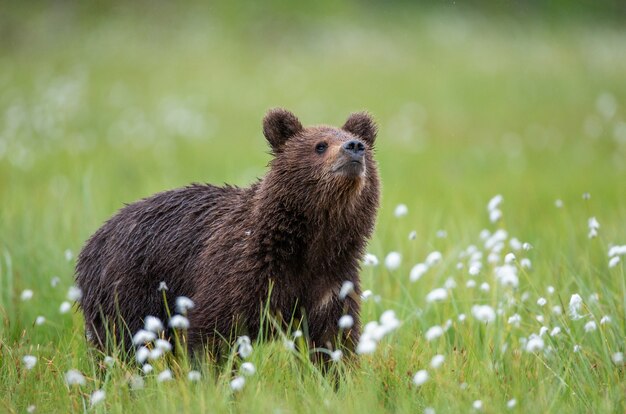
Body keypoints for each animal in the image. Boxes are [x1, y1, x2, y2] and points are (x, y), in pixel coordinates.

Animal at [75, 108, 378, 360]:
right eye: (320, 145)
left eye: (354, 140)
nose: (354, 147)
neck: (309, 242)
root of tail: (93, 240)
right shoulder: (237, 270)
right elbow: (213, 335)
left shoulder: (331, 280)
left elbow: (332, 339)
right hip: (129, 287)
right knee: (123, 343)